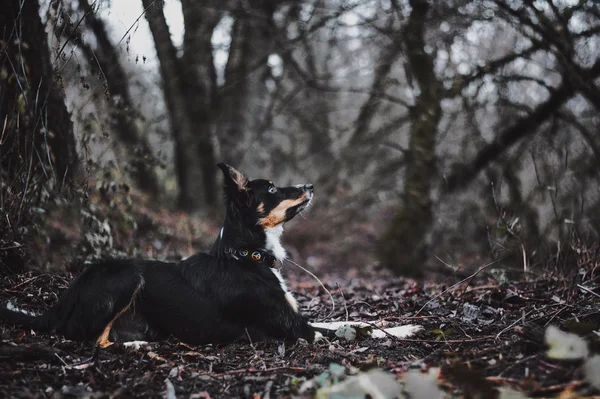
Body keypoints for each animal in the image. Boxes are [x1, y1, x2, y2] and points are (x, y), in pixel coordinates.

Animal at [0, 164, 326, 348]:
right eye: (271, 189)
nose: (311, 185)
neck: (246, 255)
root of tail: (64, 299)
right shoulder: (291, 325)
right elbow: (326, 331)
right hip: (126, 276)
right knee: (87, 338)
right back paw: (136, 347)